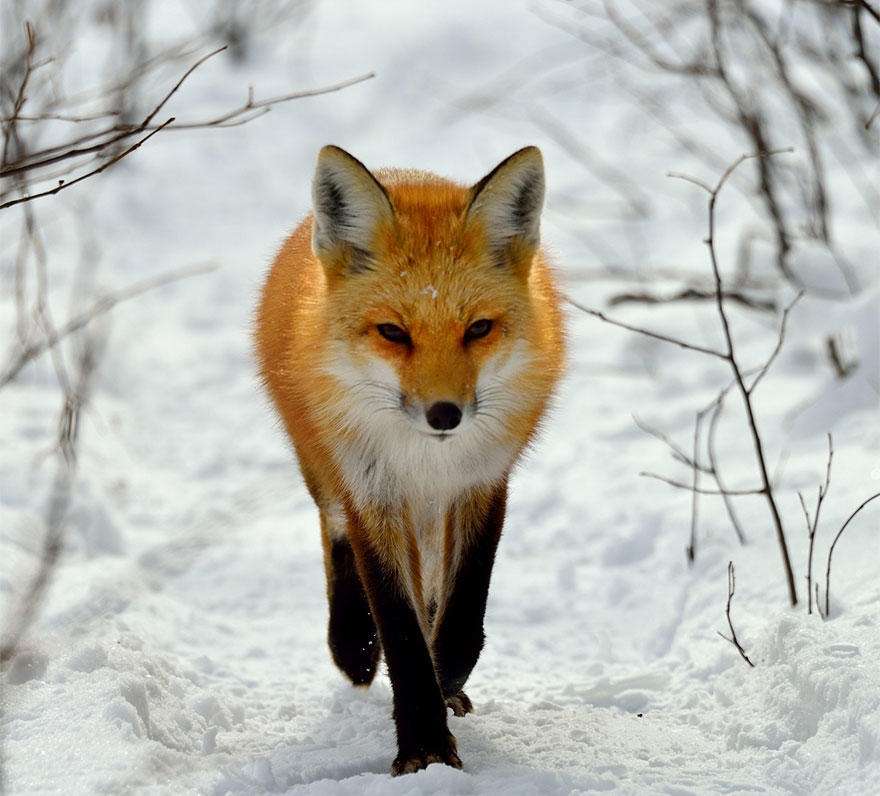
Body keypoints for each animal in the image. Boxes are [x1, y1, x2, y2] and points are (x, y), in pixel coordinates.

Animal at [256, 146, 564, 776]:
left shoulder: (481, 482)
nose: (445, 415)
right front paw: (424, 744)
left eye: (478, 329)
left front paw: (444, 683)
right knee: (335, 534)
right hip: (327, 471)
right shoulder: (373, 491)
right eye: (393, 333)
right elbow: (399, 627)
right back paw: (352, 646)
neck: (427, 462)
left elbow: (464, 606)